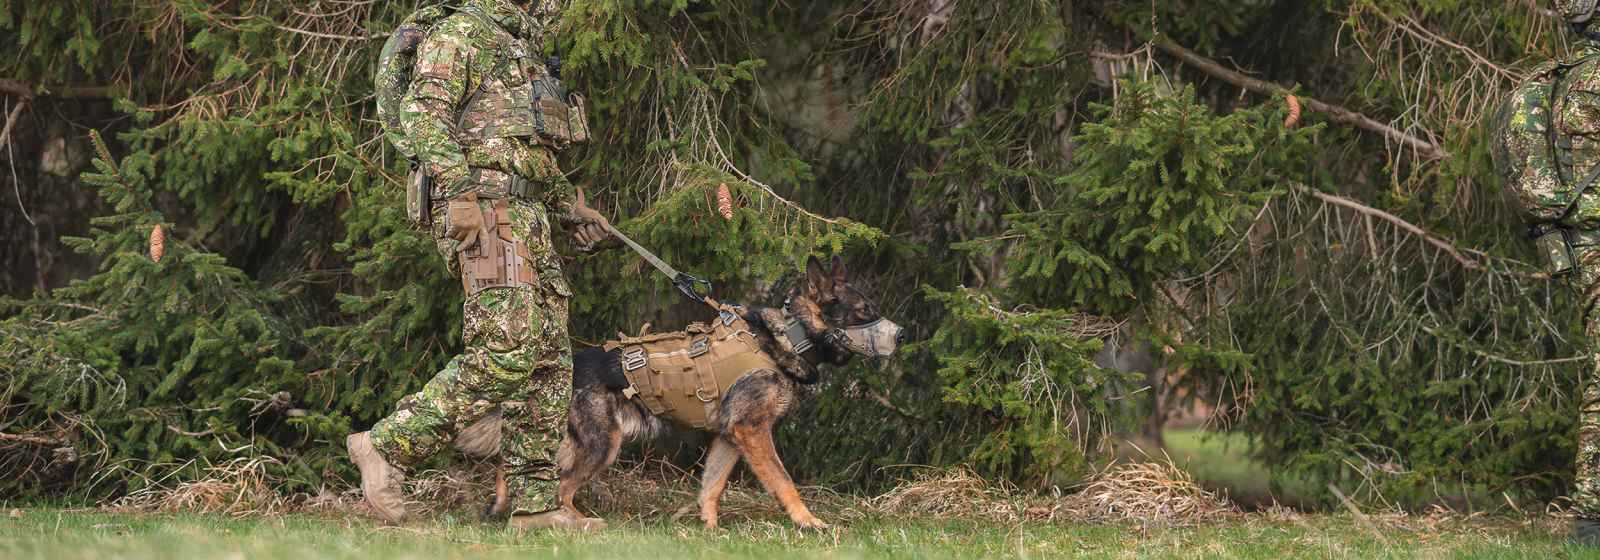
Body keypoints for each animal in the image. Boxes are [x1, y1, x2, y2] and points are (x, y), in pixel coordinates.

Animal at [550, 256, 902, 528]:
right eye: (864, 310)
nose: (902, 335)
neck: (791, 338)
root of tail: (570, 366)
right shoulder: (753, 431)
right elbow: (784, 480)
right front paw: (806, 521)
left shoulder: (729, 437)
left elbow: (712, 486)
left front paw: (710, 529)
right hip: (602, 445)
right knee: (562, 488)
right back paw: (574, 523)